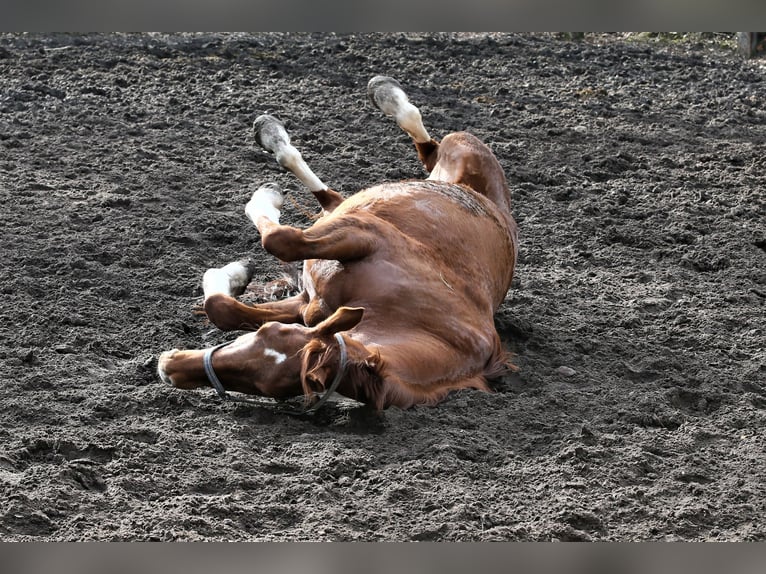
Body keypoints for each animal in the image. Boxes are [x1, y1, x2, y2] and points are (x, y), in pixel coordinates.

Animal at [157, 76, 519, 411]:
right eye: (264, 333)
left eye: (265, 386)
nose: (169, 366)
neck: (413, 316)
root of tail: (493, 204)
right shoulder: (363, 235)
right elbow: (266, 259)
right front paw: (234, 270)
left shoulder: (309, 304)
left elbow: (256, 270)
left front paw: (229, 272)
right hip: (460, 147)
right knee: (421, 147)